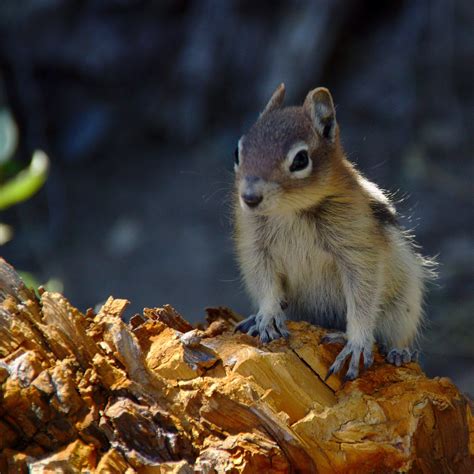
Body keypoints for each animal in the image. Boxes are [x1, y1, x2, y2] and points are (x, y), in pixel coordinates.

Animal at [233, 83, 434, 382]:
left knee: (395, 335)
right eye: (238, 152)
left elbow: (363, 297)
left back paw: (399, 352)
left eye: (300, 159)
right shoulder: (256, 247)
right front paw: (267, 316)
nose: (249, 198)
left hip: (405, 304)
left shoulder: (357, 249)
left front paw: (356, 343)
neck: (291, 210)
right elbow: (266, 283)